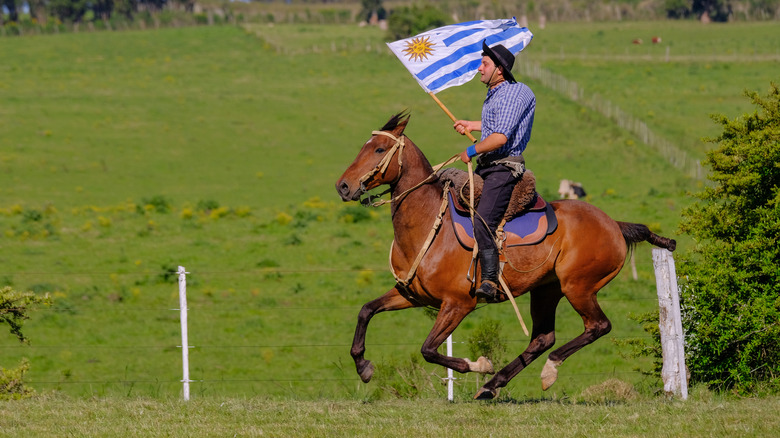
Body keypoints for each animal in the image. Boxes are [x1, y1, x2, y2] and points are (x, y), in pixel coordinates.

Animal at [336, 111, 676, 398]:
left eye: (379, 149)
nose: (343, 186)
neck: (429, 224)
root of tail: (614, 225)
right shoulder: (412, 296)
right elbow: (366, 311)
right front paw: (364, 368)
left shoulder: (457, 304)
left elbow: (428, 350)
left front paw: (480, 364)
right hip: (546, 290)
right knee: (543, 338)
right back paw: (492, 386)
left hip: (578, 287)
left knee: (597, 326)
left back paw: (546, 371)